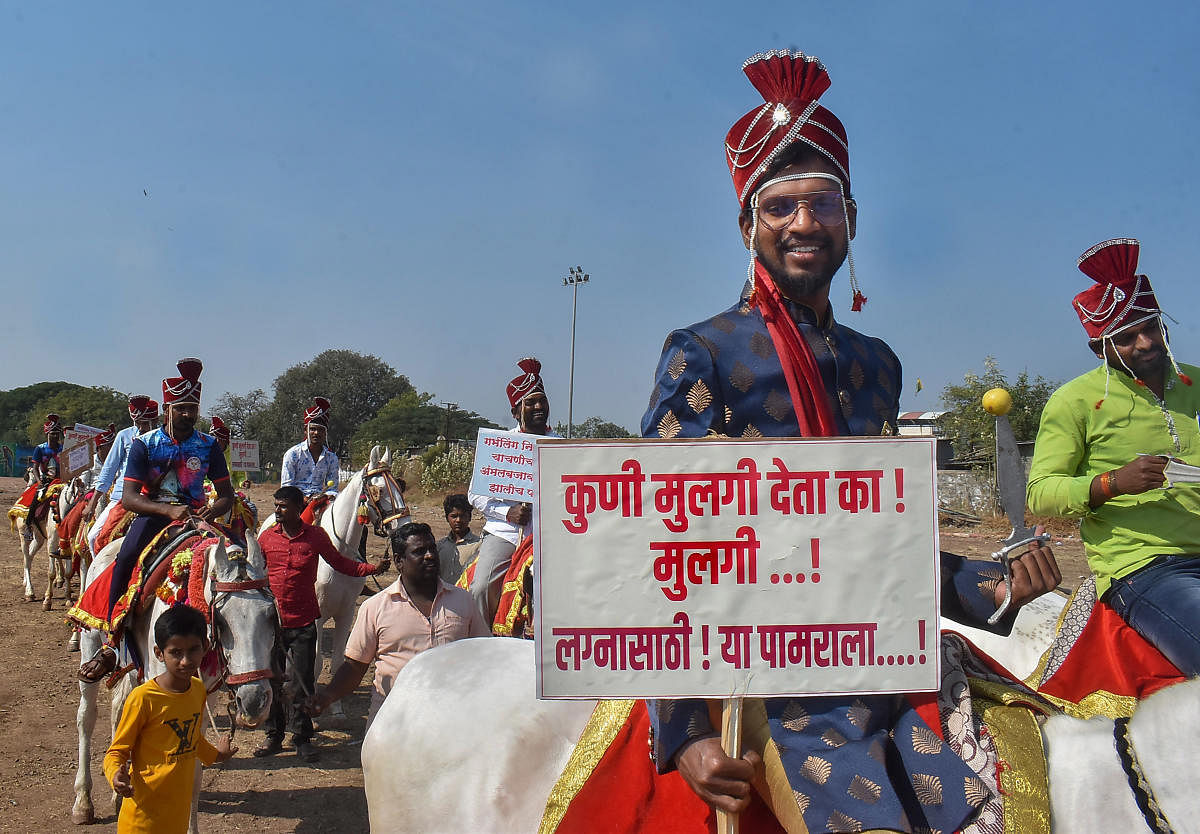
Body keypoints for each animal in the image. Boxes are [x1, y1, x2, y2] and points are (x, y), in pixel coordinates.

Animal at [72, 532, 276, 830]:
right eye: (221, 621)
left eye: (271, 616)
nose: (254, 702)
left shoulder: (203, 700)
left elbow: (193, 772)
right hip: (90, 642)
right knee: (86, 717)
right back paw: (83, 802)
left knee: (119, 709)